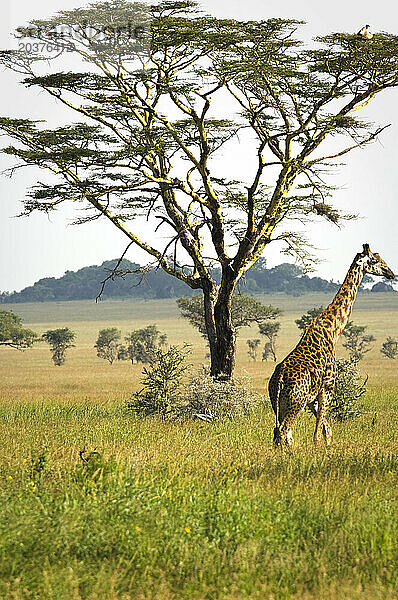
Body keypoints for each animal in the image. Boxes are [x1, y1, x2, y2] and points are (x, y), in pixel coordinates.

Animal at [268, 244, 394, 446]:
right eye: (375, 260)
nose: (391, 273)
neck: (333, 331)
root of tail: (278, 380)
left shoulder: (312, 397)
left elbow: (327, 428)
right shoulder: (328, 386)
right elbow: (319, 432)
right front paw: (320, 447)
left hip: (279, 404)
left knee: (280, 434)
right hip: (296, 403)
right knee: (284, 432)